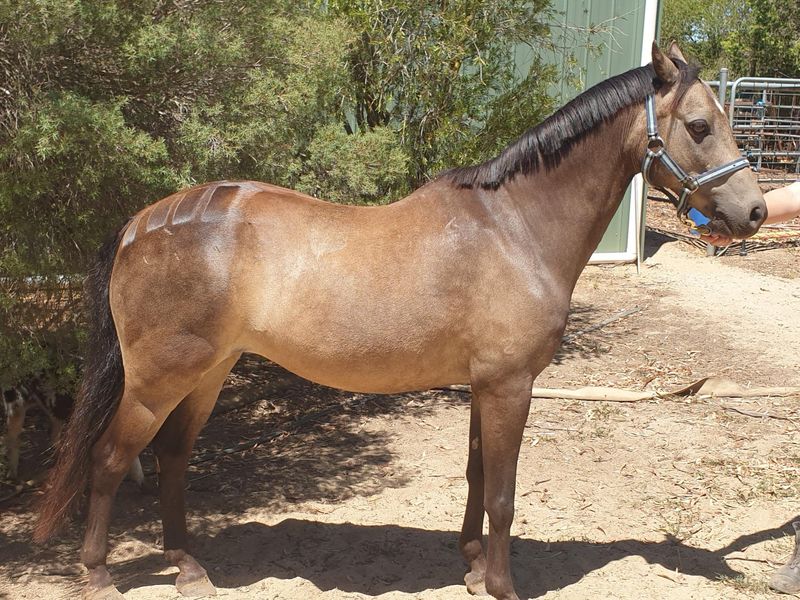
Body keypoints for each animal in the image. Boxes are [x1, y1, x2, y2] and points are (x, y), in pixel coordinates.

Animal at [33, 43, 766, 600]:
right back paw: (97, 575)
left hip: (209, 372)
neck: (514, 227)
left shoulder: (485, 386)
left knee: (173, 456)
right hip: (156, 380)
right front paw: (502, 585)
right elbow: (504, 492)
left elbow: (477, 477)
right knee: (109, 459)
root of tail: (140, 223)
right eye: (699, 126)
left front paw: (472, 566)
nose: (755, 212)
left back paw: (188, 567)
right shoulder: (511, 385)